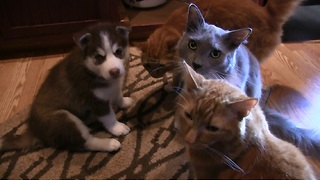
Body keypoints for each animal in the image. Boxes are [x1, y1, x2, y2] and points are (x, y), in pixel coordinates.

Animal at [0, 22, 132, 152]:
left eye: (118, 51)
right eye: (99, 57)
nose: (114, 72)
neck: (92, 71)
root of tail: (34, 131)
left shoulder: (113, 88)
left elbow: (118, 95)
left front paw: (125, 102)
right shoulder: (95, 100)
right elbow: (109, 117)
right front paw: (117, 128)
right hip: (63, 118)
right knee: (85, 142)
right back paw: (109, 144)